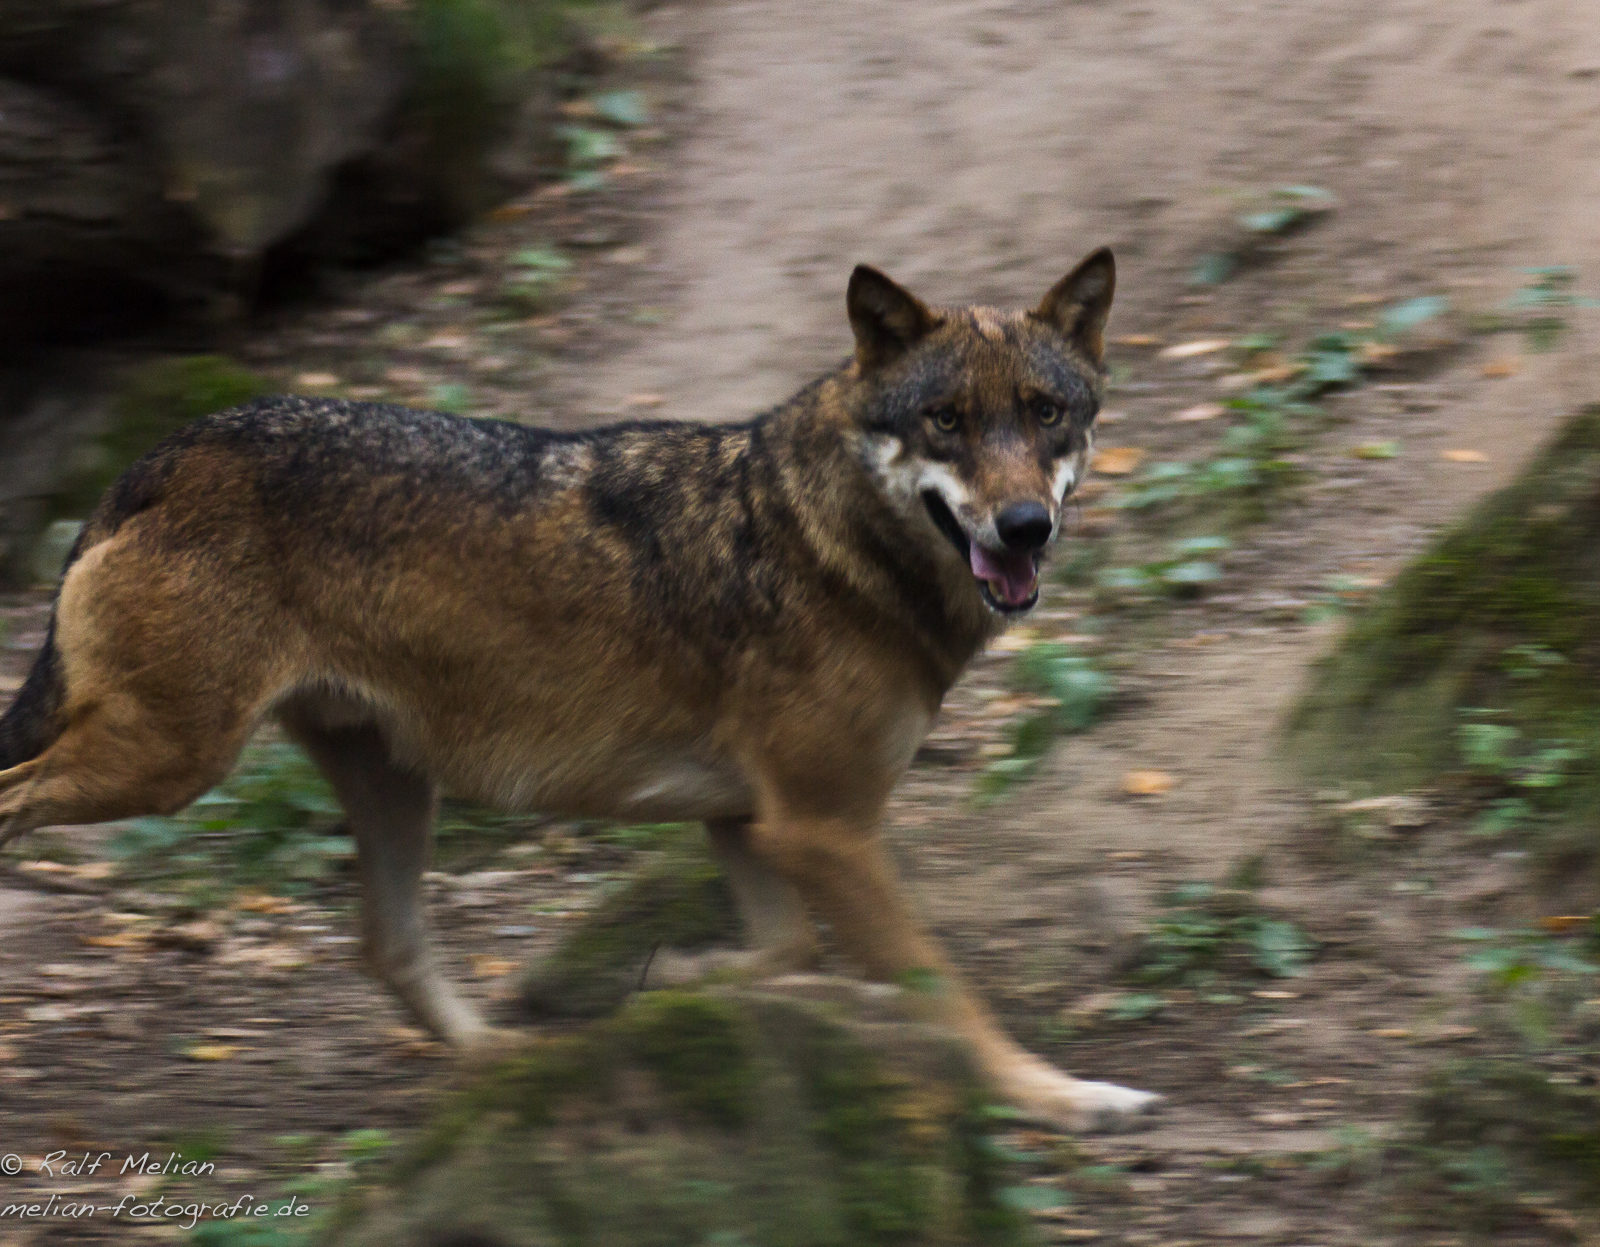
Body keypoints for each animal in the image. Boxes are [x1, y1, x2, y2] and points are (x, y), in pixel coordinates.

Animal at [0, 247, 1158, 1130]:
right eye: (947, 421)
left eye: (1045, 413)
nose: (1024, 527)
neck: (831, 541)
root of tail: (162, 453)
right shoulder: (824, 829)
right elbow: (944, 992)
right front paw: (1062, 1098)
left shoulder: (751, 823)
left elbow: (780, 951)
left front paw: (673, 983)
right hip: (169, 765)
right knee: (18, 800)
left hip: (387, 786)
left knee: (387, 945)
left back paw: (506, 1069)